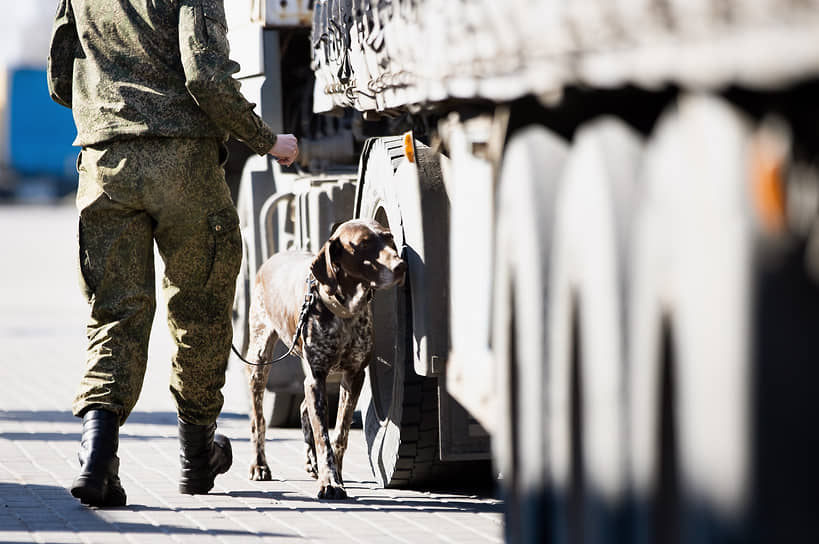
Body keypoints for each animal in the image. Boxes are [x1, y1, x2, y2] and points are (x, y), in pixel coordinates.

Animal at [245, 219, 408, 500]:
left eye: (389, 237)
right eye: (364, 244)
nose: (400, 266)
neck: (345, 311)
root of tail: (273, 258)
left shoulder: (353, 376)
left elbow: (340, 433)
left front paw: (336, 475)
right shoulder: (316, 377)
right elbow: (323, 436)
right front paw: (329, 482)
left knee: (303, 408)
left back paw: (311, 462)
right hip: (259, 360)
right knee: (259, 420)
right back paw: (259, 464)